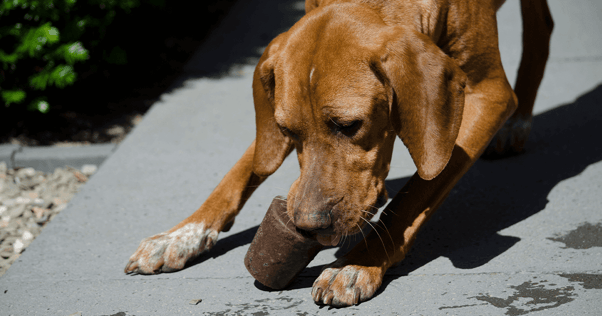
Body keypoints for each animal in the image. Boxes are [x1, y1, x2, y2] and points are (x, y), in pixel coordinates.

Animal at [124, 0, 552, 308]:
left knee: (541, 24)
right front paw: (182, 234)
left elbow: (414, 195)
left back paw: (518, 123)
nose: (309, 226)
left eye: (349, 126)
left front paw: (358, 263)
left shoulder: (487, 94)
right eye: (287, 131)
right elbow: (245, 166)